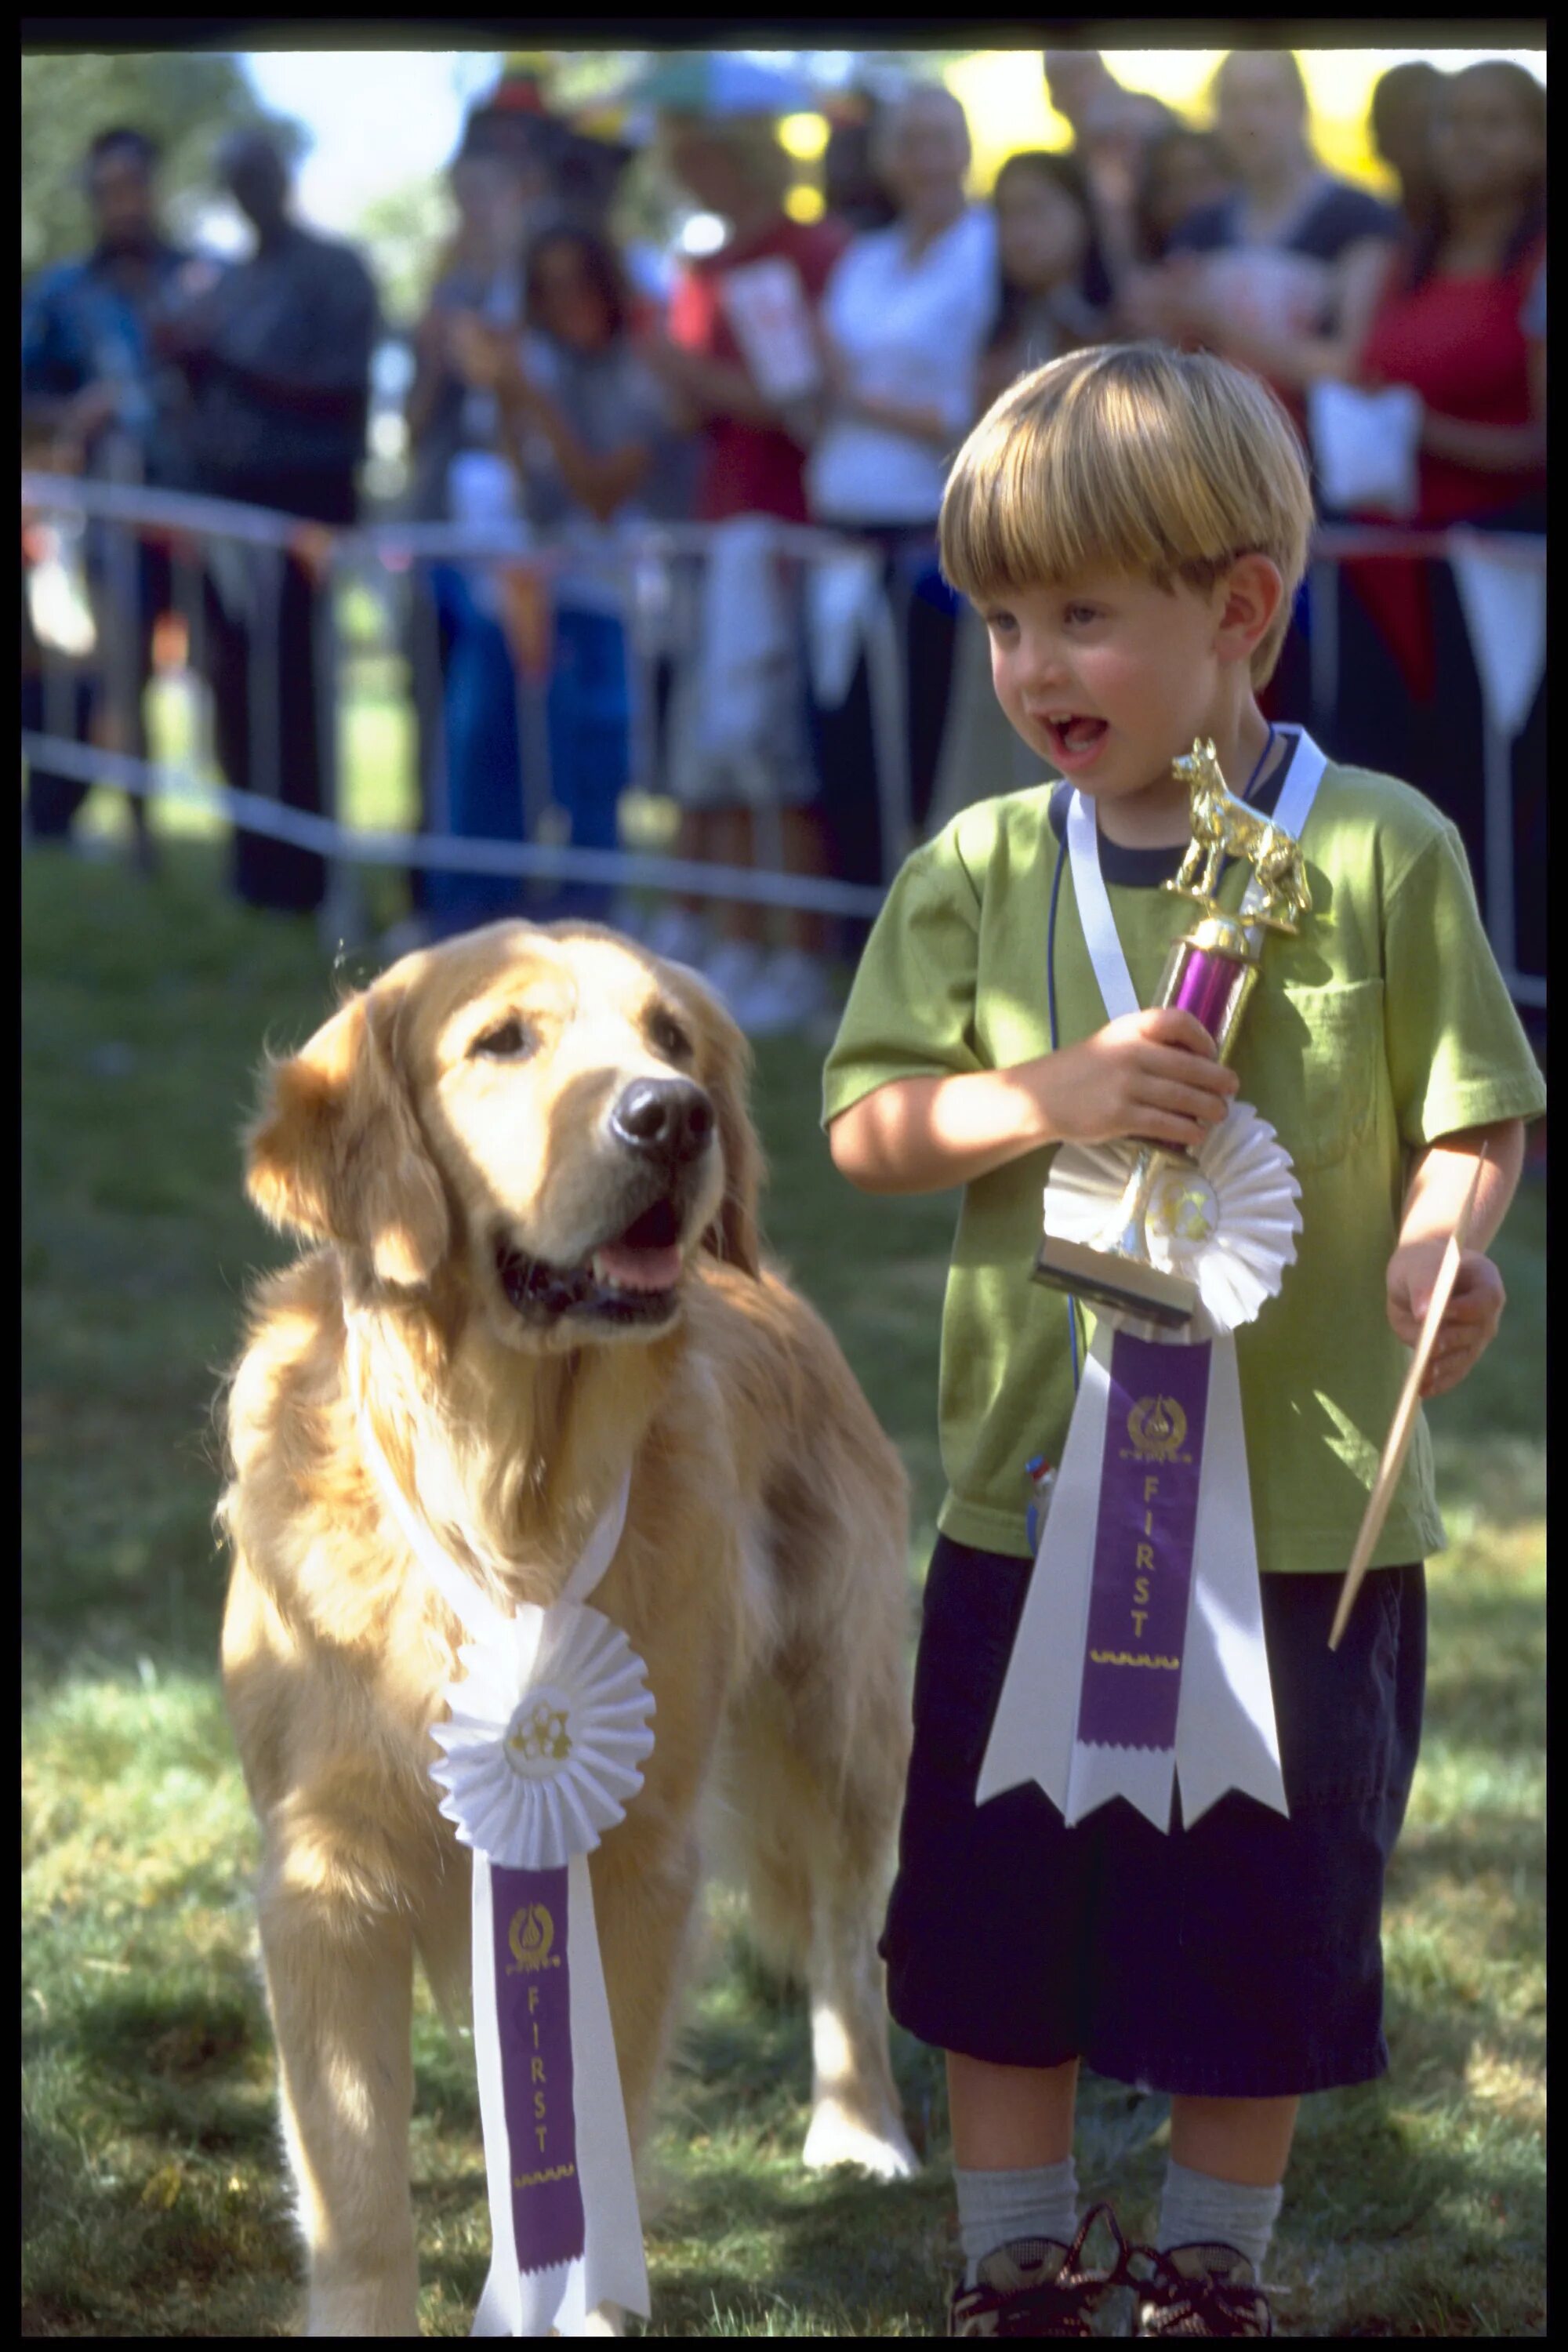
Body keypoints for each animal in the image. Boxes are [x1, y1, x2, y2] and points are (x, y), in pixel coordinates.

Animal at [215, 917, 912, 2333]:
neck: (508, 1510)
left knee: (848, 1946)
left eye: (671, 1037)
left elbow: (599, 2150)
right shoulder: (322, 1880)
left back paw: (862, 2134)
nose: (674, 1116)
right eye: (501, 1041)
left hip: (841, 1722)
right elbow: (358, 2190)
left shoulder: (637, 1859)